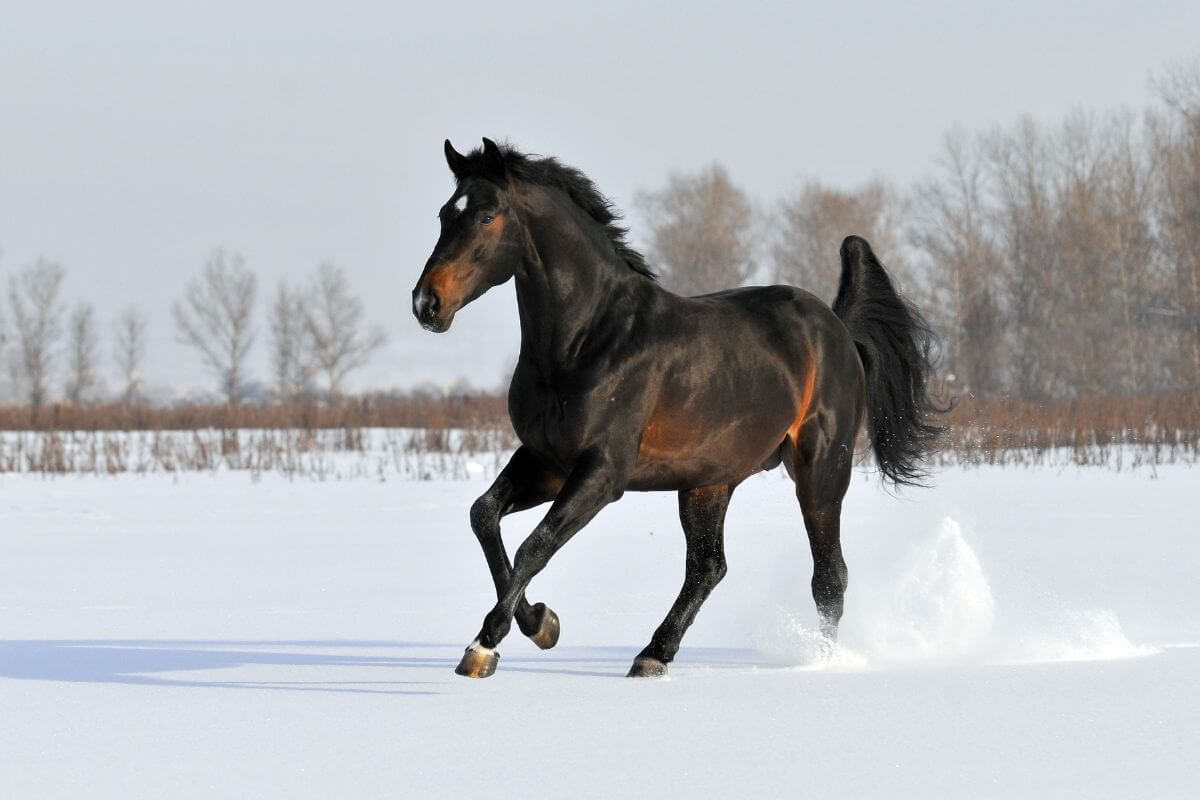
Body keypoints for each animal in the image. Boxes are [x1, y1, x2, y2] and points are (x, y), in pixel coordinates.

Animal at [412, 140, 945, 681]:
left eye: (486, 216)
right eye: (444, 214)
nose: (426, 303)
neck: (588, 340)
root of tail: (837, 327)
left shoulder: (602, 472)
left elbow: (534, 545)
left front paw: (485, 646)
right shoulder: (546, 461)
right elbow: (485, 516)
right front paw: (541, 623)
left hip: (821, 470)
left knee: (828, 576)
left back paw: (820, 664)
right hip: (707, 483)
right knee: (709, 567)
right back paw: (653, 654)